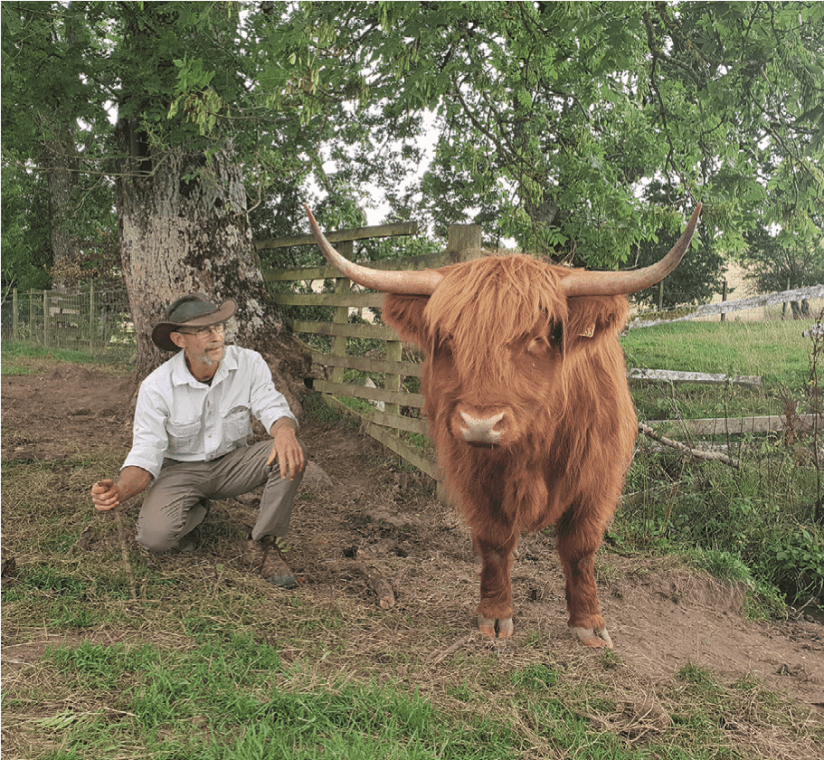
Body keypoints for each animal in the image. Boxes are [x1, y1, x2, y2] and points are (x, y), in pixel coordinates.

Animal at [306, 203, 701, 648]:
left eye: (538, 338)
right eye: (448, 338)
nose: (480, 424)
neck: (535, 447)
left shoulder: (597, 480)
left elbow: (580, 548)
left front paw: (590, 623)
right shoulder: (474, 477)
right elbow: (494, 543)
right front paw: (495, 616)